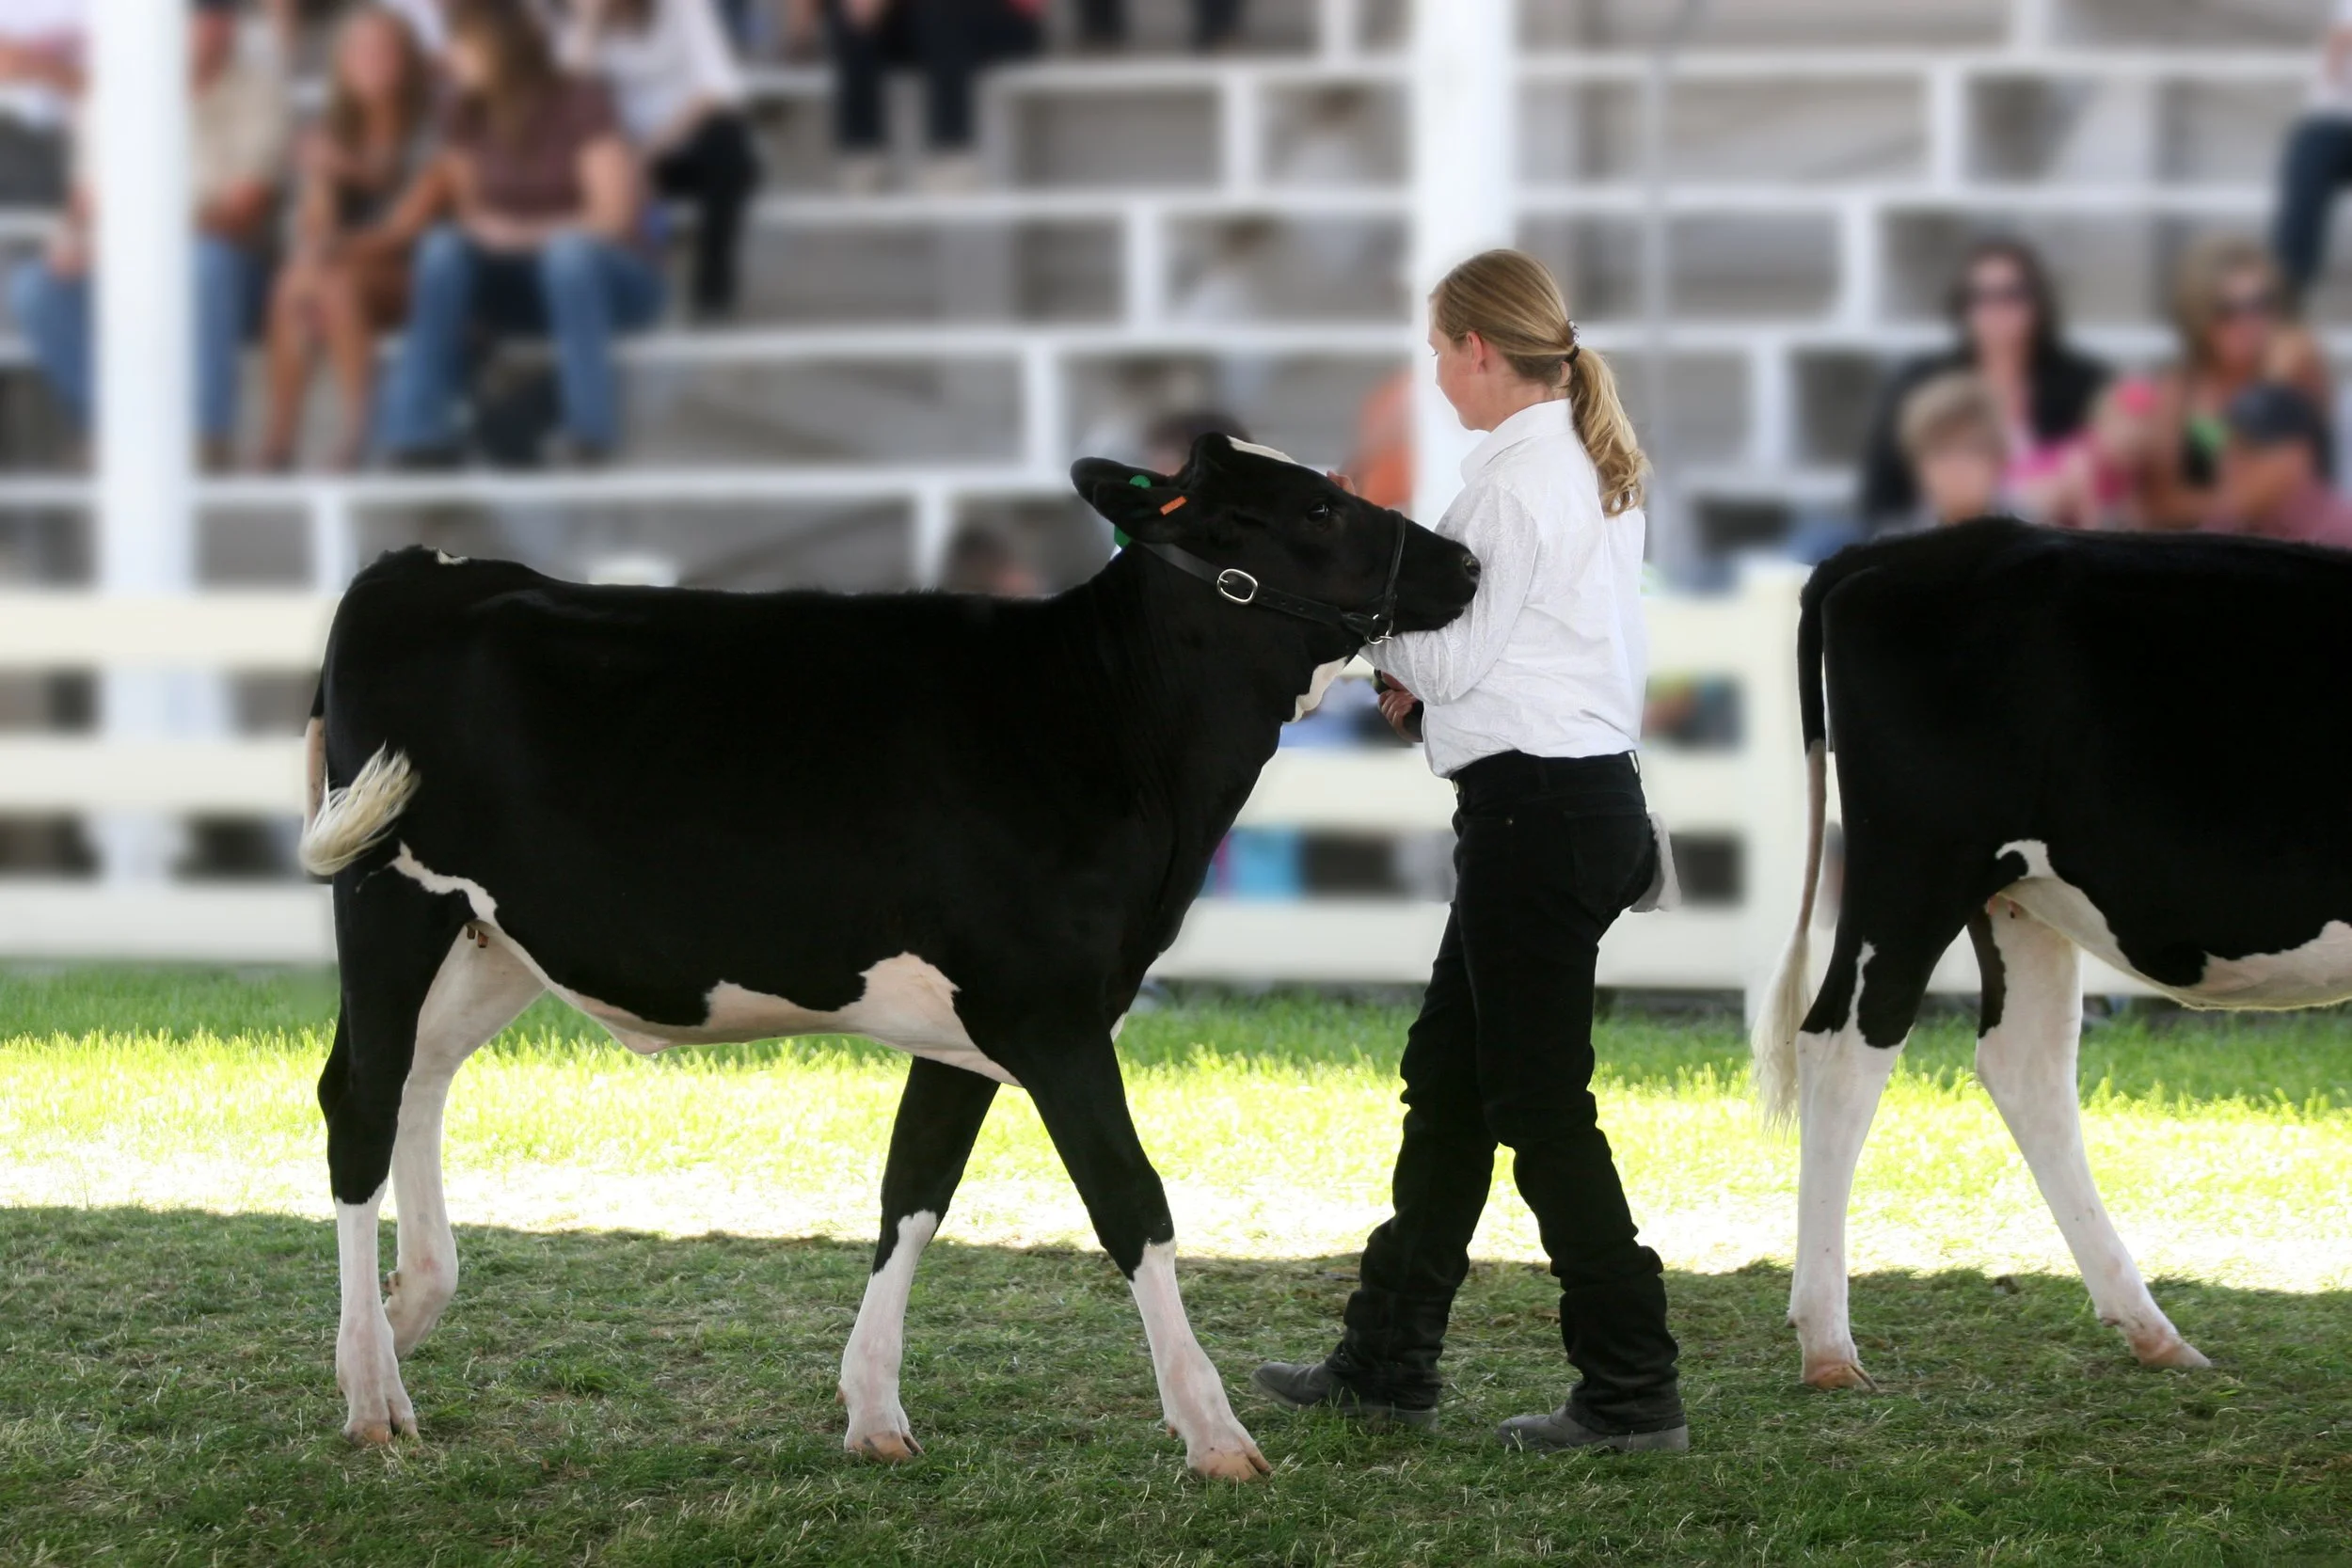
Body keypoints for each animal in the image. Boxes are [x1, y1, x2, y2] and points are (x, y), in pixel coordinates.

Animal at [298, 433, 1482, 1480]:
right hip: (386, 894)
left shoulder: (973, 1025)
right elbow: (1133, 1202)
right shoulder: (1047, 1009)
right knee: (359, 1101)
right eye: (1318, 508)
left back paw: (407, 1312)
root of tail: (416, 568)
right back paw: (370, 1390)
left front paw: (871, 1409)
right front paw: (1214, 1431)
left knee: (417, 1077)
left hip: (492, 933)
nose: (1466, 562)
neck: (1110, 721)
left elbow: (913, 1189)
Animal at [1750, 517, 2352, 1390]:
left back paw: (2151, 1328)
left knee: (2026, 1065)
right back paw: (1829, 1344)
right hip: (1920, 863)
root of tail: (1911, 547)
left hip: (2019, 892)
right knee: (1845, 1046)